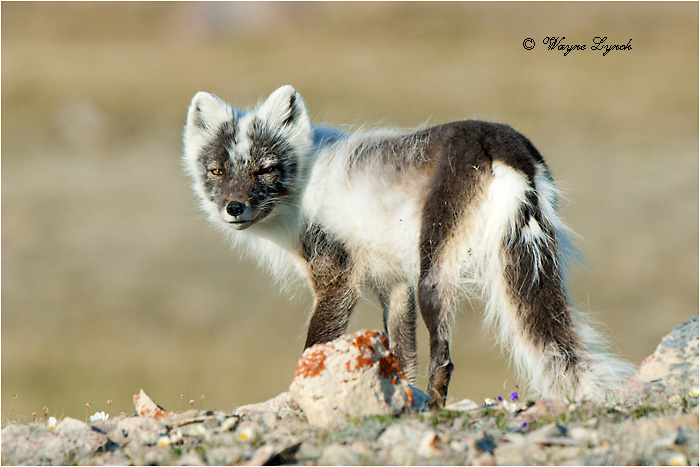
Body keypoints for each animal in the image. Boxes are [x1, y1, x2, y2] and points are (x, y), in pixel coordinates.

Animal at [182, 85, 633, 407]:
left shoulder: (338, 278)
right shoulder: (393, 285)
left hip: (432, 269)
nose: (233, 207)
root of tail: (498, 141)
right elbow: (401, 357)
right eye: (217, 171)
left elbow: (315, 347)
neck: (305, 180)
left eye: (265, 169)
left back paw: (435, 409)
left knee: (445, 358)